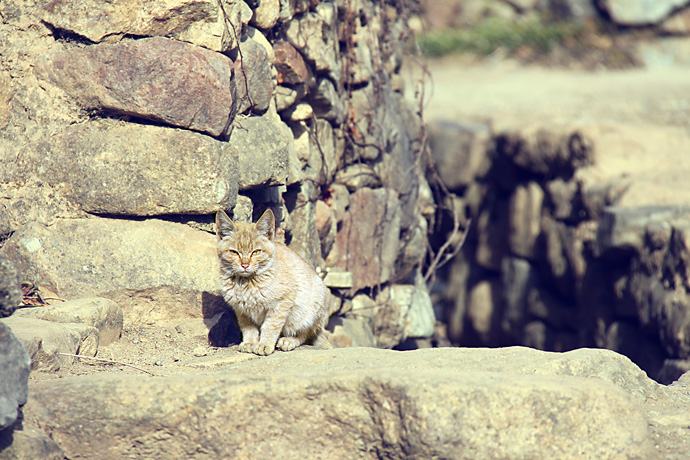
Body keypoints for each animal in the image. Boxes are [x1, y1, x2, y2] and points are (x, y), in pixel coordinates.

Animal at [216, 208, 332, 356]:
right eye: (234, 252)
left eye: (256, 252)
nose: (245, 265)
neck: (246, 282)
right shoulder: (241, 310)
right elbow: (249, 328)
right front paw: (250, 342)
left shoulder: (282, 302)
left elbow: (270, 326)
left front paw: (264, 344)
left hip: (311, 309)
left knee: (305, 333)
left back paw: (289, 340)